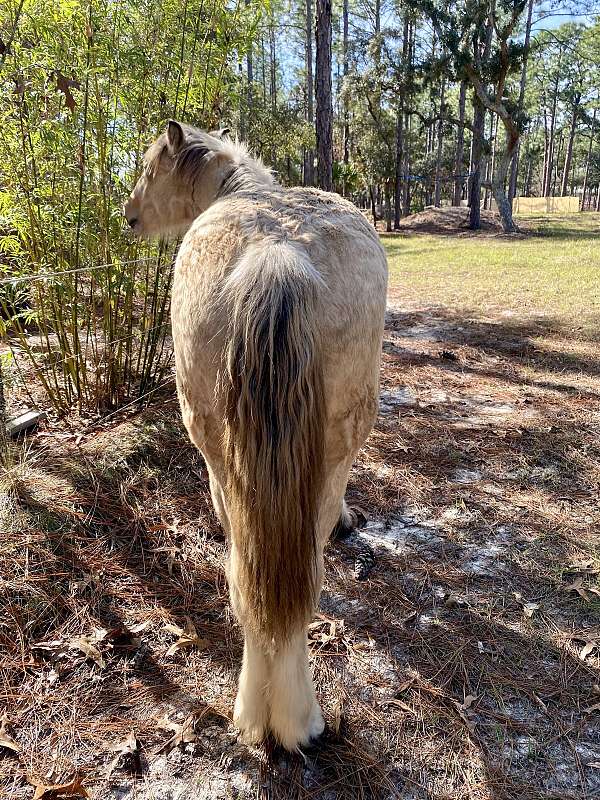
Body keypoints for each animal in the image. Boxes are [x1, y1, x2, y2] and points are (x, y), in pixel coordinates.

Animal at [125, 120, 390, 752]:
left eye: (149, 169)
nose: (129, 215)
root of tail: (276, 253)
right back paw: (289, 717)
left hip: (223, 455)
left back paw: (272, 715)